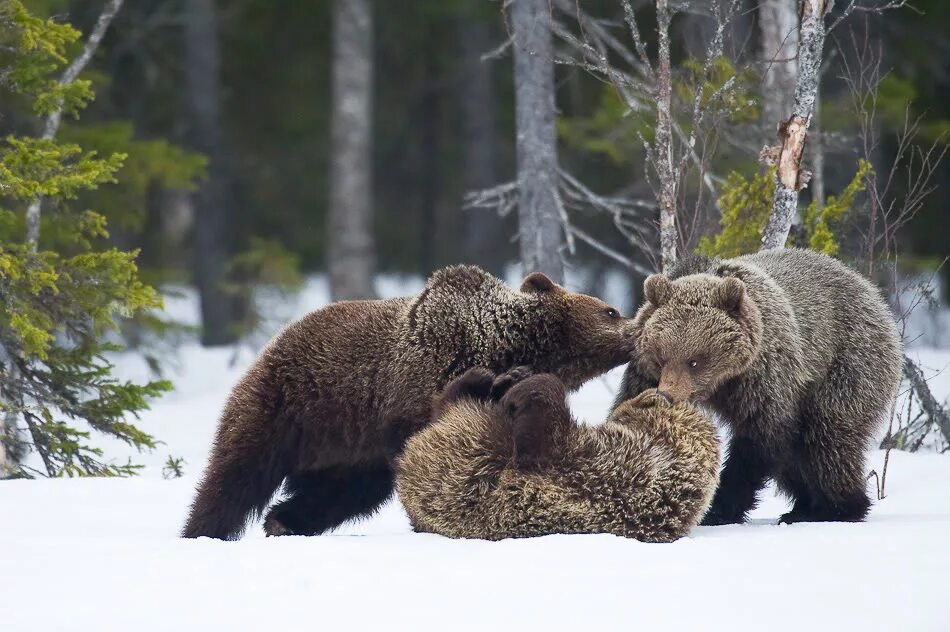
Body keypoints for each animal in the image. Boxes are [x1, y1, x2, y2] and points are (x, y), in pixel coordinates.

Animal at [183, 266, 640, 540]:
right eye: (611, 310)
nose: (634, 327)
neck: (503, 342)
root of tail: (270, 345)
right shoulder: (418, 375)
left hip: (349, 448)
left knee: (344, 493)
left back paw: (283, 520)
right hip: (288, 403)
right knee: (236, 473)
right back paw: (204, 529)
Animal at [396, 366, 720, 544]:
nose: (660, 393)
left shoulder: (600, 474)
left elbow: (540, 441)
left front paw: (521, 391)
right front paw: (512, 381)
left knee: (451, 407)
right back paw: (493, 378)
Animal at [620, 249, 904, 524]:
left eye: (695, 360)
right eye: (661, 357)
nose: (668, 395)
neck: (722, 382)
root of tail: (871, 291)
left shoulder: (764, 376)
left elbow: (760, 438)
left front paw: (717, 510)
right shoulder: (643, 371)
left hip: (847, 364)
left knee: (827, 438)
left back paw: (838, 508)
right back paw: (804, 507)